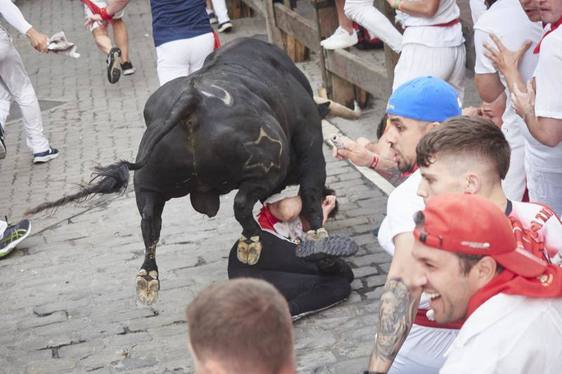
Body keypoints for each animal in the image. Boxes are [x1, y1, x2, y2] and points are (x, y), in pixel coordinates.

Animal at [28, 38, 330, 306]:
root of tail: (191, 98)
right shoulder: (311, 147)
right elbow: (311, 192)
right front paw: (318, 236)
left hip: (149, 183)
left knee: (150, 223)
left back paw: (148, 278)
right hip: (268, 168)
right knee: (242, 203)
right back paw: (251, 242)